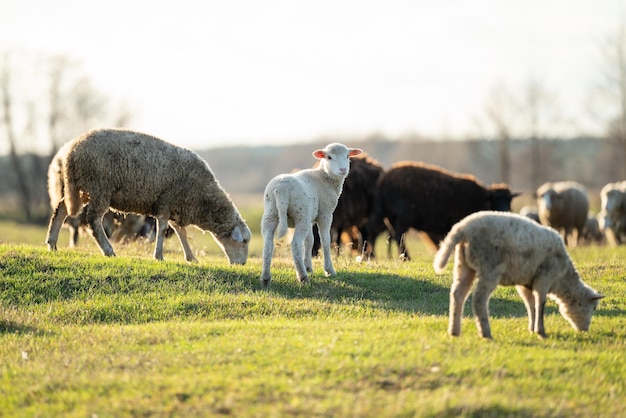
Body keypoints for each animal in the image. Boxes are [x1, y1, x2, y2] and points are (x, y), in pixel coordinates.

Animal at [44, 128, 249, 264]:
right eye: (244, 241)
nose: (242, 264)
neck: (203, 199)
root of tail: (72, 150)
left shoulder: (175, 206)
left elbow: (180, 232)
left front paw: (191, 258)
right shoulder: (166, 203)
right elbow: (163, 229)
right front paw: (159, 256)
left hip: (82, 187)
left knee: (62, 208)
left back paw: (52, 243)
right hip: (99, 186)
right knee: (93, 220)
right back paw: (108, 250)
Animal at [260, 144, 364, 288]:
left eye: (348, 156)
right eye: (329, 157)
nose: (343, 169)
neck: (324, 176)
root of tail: (281, 191)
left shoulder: (310, 218)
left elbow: (310, 241)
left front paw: (308, 266)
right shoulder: (325, 213)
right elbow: (325, 241)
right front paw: (329, 270)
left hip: (272, 214)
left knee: (268, 245)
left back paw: (266, 278)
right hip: (300, 215)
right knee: (295, 245)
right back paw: (303, 277)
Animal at [360, 162, 516, 260]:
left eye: (509, 200)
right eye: (495, 200)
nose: (505, 212)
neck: (481, 200)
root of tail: (384, 179)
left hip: (388, 213)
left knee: (387, 233)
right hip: (402, 215)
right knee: (394, 234)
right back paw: (398, 257)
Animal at [432, 212, 604, 340]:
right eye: (594, 307)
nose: (585, 330)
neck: (563, 280)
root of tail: (462, 228)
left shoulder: (526, 283)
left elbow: (530, 304)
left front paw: (532, 329)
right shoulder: (544, 277)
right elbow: (540, 303)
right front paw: (541, 331)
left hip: (464, 264)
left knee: (458, 294)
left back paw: (454, 331)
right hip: (489, 267)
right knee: (479, 299)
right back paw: (486, 333)